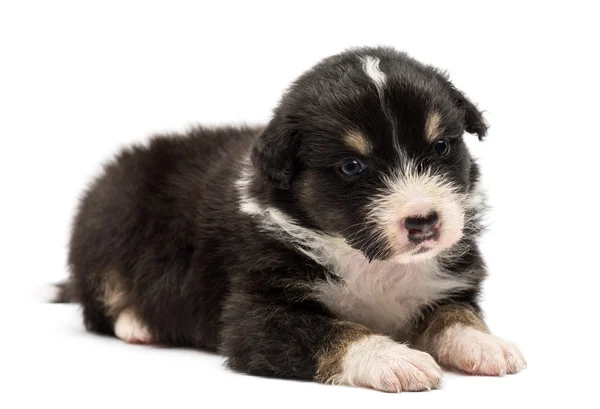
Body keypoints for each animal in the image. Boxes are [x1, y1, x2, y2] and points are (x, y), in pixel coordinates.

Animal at [48, 47, 524, 392]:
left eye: (441, 146)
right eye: (351, 166)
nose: (424, 222)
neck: (371, 260)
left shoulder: (447, 283)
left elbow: (455, 314)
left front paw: (486, 345)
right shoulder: (252, 316)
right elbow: (333, 331)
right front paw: (397, 359)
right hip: (108, 224)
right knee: (98, 305)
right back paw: (139, 323)